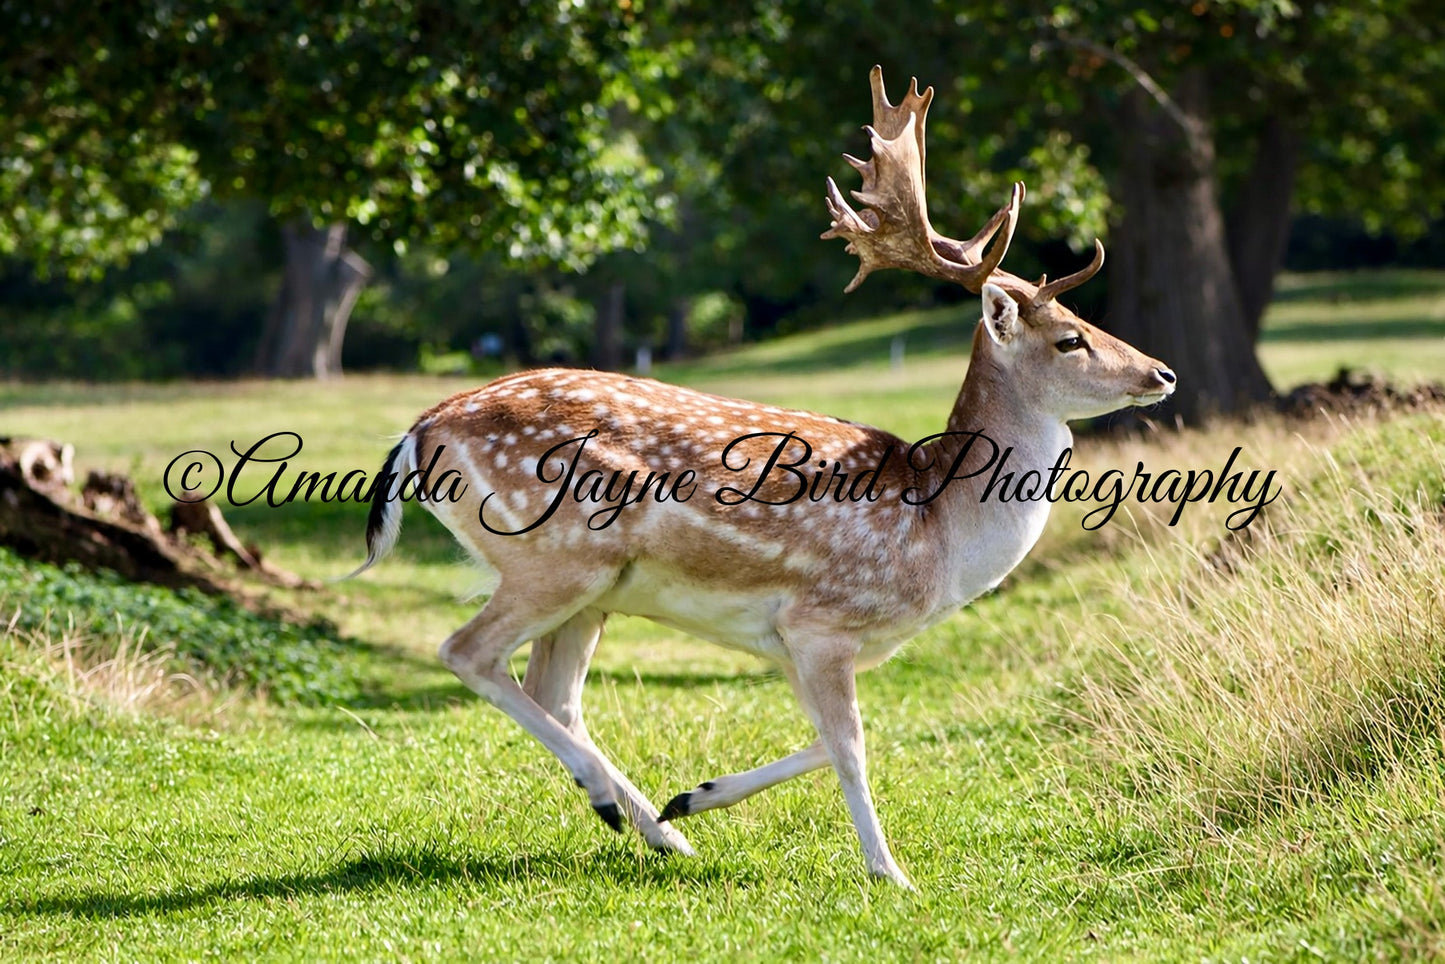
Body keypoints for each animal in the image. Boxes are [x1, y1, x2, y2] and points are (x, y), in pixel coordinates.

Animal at [351, 67, 1175, 888]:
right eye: (1069, 338)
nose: (1162, 372)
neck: (938, 536)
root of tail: (420, 432)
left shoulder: (800, 644)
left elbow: (829, 741)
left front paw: (695, 796)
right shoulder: (821, 621)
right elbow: (852, 745)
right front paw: (889, 873)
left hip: (594, 588)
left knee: (551, 691)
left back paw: (660, 831)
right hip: (554, 557)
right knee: (466, 652)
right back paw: (612, 802)